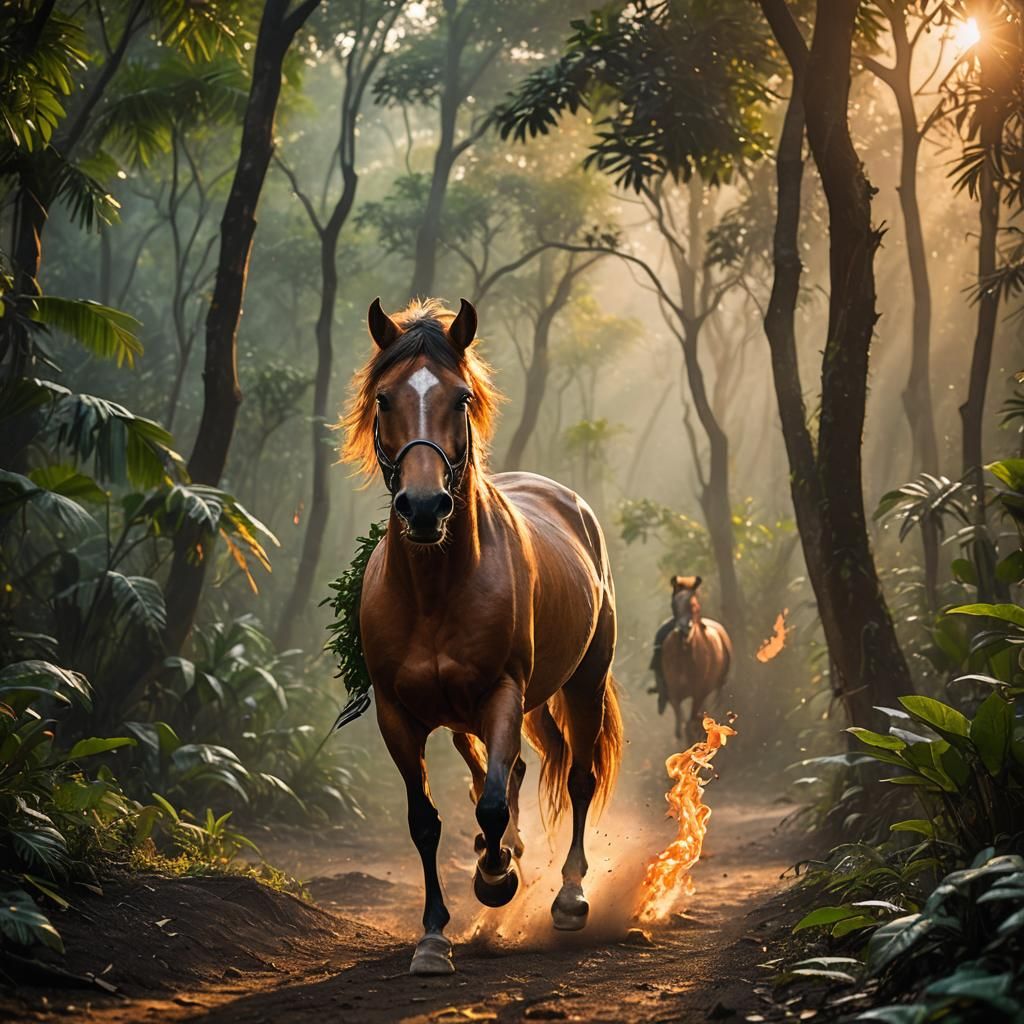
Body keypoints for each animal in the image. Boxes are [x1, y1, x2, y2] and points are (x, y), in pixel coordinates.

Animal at [340, 297, 623, 976]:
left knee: (575, 779)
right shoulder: (397, 714)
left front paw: (496, 878)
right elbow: (427, 819)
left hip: (582, 682)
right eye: (384, 398)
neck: (437, 589)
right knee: (501, 773)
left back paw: (568, 894)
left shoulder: (502, 693)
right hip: (468, 714)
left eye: (460, 397)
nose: (423, 507)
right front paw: (433, 936)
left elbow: (493, 800)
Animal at [656, 575, 731, 744]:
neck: (686, 657)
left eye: (694, 603)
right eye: (674, 604)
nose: (685, 628)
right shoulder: (674, 694)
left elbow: (693, 723)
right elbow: (684, 724)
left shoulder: (699, 693)